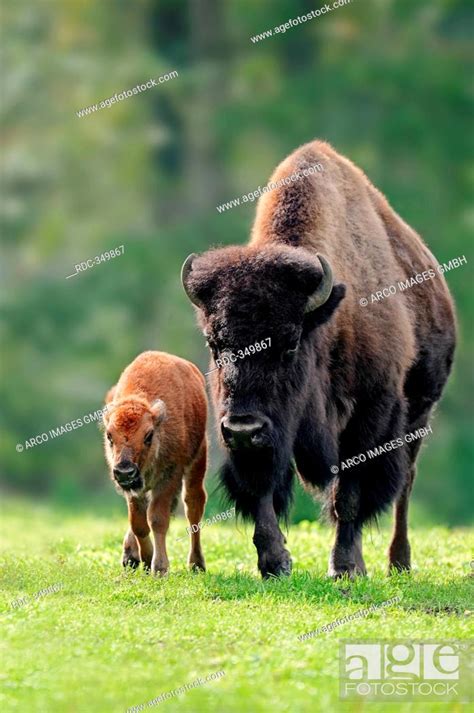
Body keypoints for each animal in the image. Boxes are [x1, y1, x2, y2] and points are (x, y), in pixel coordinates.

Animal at [103, 348, 207, 576]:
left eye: (148, 435)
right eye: (109, 436)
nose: (125, 471)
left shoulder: (169, 477)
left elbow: (157, 519)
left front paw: (159, 568)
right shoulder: (133, 489)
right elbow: (138, 523)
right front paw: (144, 558)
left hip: (198, 459)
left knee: (193, 506)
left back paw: (196, 564)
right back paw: (130, 556)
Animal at [181, 139, 456, 580]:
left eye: (291, 343)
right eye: (214, 343)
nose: (243, 427)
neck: (327, 323)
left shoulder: (370, 418)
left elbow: (351, 495)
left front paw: (344, 568)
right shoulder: (259, 437)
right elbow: (261, 487)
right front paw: (274, 562)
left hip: (419, 414)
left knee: (405, 485)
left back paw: (398, 562)